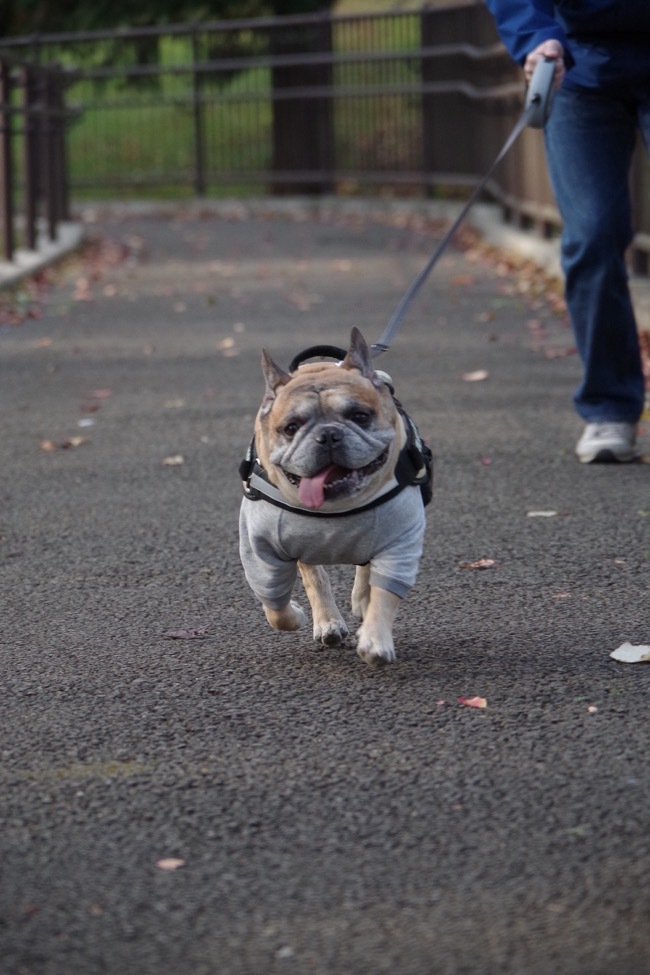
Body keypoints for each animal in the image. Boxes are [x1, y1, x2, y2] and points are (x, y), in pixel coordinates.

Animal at [239, 328, 430, 664]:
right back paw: (328, 622)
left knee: (366, 569)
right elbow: (276, 605)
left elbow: (385, 592)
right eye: (291, 427)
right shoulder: (261, 552)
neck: (336, 508)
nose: (328, 434)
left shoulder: (400, 542)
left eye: (360, 416)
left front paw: (376, 639)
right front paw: (298, 615)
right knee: (315, 574)